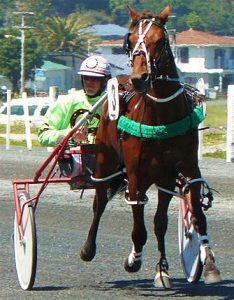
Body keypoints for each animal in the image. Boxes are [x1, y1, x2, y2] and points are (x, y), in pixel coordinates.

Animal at [80, 5, 221, 288]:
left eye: (159, 40)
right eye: (131, 40)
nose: (139, 78)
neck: (161, 115)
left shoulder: (185, 168)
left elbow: (189, 218)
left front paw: (203, 265)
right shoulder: (135, 173)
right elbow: (138, 227)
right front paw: (133, 259)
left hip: (160, 176)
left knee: (158, 221)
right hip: (106, 162)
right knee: (100, 202)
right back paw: (89, 248)